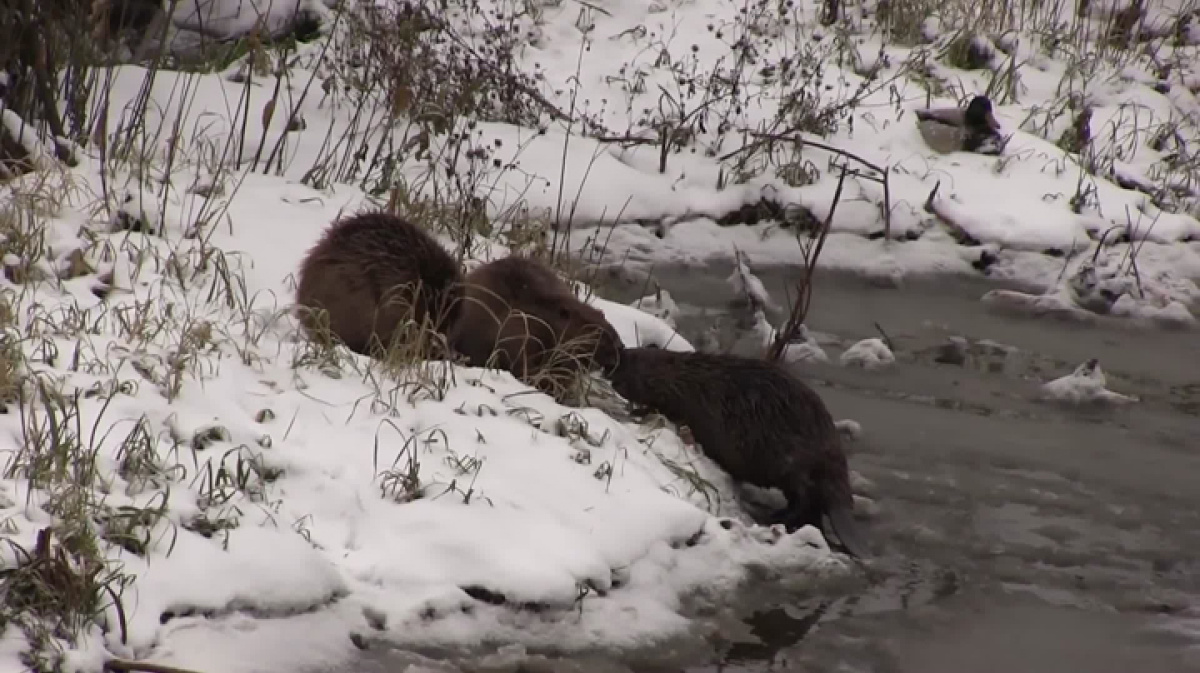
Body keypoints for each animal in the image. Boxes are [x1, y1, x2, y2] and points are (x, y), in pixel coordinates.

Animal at [614, 345, 868, 556]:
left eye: (634, 360)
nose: (613, 375)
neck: (692, 379)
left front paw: (640, 412)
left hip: (793, 463)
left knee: (805, 498)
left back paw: (777, 516)